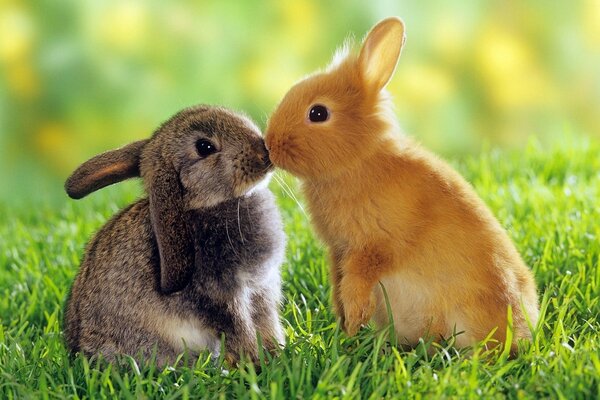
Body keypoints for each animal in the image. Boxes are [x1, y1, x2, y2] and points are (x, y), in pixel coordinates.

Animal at [62, 104, 286, 366]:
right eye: (204, 147)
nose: (264, 154)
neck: (201, 205)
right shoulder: (222, 295)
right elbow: (239, 329)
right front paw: (256, 362)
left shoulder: (261, 289)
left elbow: (267, 323)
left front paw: (277, 353)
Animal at [264, 17, 540, 354]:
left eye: (318, 113)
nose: (269, 145)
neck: (358, 161)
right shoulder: (338, 252)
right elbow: (338, 285)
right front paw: (344, 328)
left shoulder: (373, 248)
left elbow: (356, 284)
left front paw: (353, 324)